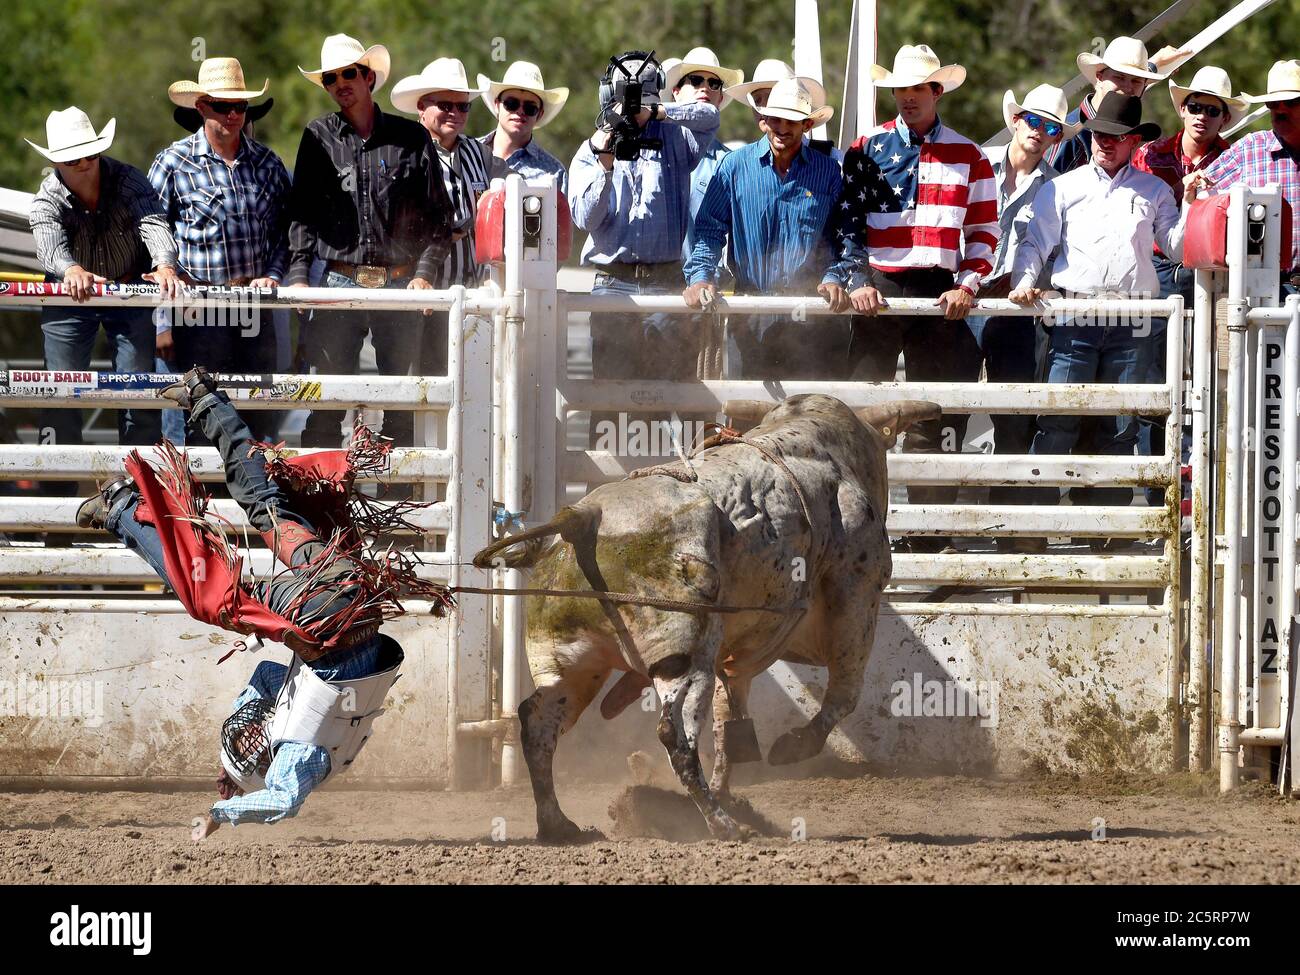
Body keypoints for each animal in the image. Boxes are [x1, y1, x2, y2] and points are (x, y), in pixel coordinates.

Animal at [475, 392, 935, 842]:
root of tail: (586, 516)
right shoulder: (856, 593)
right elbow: (845, 692)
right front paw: (794, 746)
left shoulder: (738, 650)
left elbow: (729, 721)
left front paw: (729, 785)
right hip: (684, 654)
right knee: (672, 732)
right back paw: (719, 822)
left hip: (570, 664)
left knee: (538, 720)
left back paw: (559, 824)